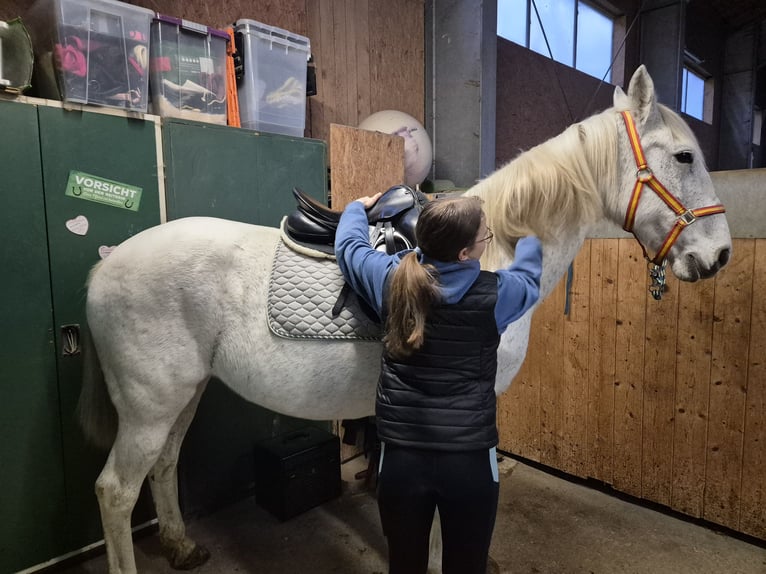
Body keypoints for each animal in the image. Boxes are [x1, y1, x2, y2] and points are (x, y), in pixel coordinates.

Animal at [81, 65, 736, 572]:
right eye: (684, 156)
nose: (720, 255)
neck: (489, 253)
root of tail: (106, 266)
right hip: (149, 407)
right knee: (115, 492)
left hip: (181, 396)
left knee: (164, 467)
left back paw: (180, 546)